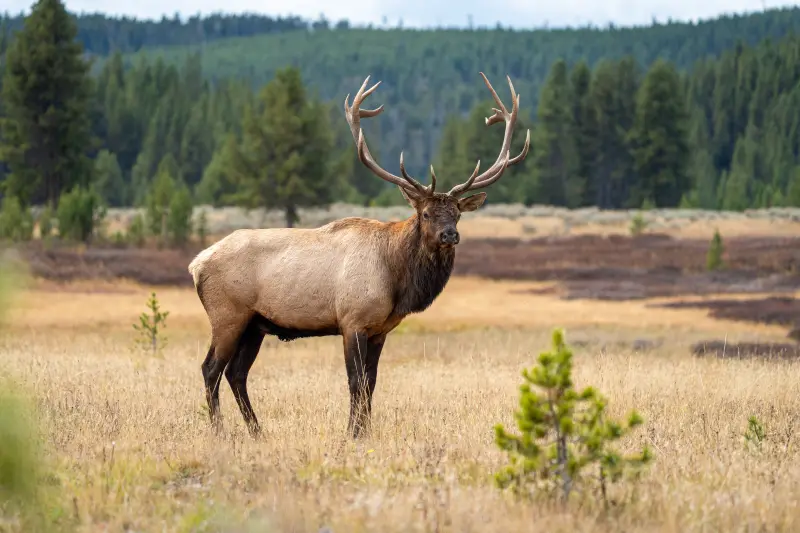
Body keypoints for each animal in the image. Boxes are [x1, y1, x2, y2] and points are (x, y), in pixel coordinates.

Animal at [188, 72, 530, 439]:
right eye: (425, 213)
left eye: (456, 213)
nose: (449, 235)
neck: (397, 279)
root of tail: (196, 264)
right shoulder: (352, 321)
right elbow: (355, 381)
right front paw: (352, 433)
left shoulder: (380, 329)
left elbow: (371, 383)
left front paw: (364, 431)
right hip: (228, 315)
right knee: (211, 368)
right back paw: (220, 431)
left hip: (255, 324)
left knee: (236, 373)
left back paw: (257, 432)